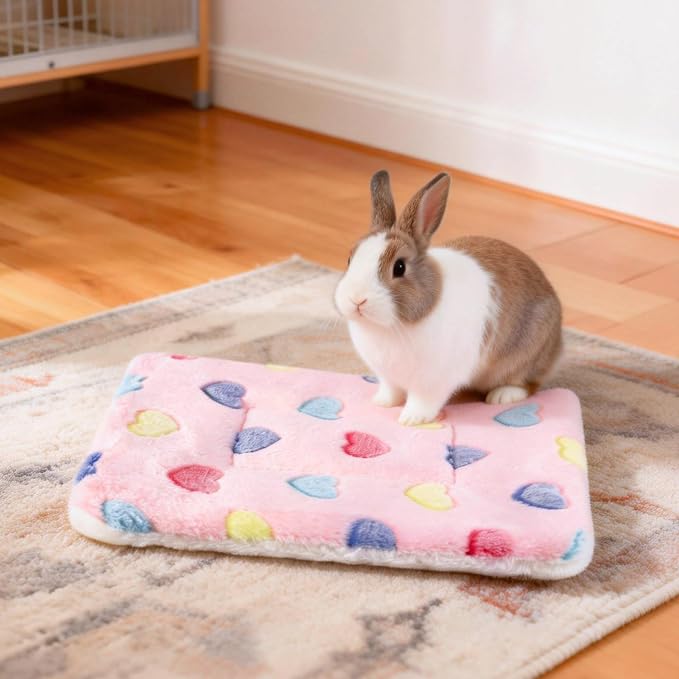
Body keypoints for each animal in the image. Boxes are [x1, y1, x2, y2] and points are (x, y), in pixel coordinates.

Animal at [334, 170, 562, 426]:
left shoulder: (433, 381)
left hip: (528, 353)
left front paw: (411, 419)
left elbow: (423, 400)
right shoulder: (388, 376)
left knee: (529, 383)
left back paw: (502, 396)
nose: (357, 300)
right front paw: (382, 403)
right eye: (350, 260)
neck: (392, 327)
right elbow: (391, 390)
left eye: (399, 267)